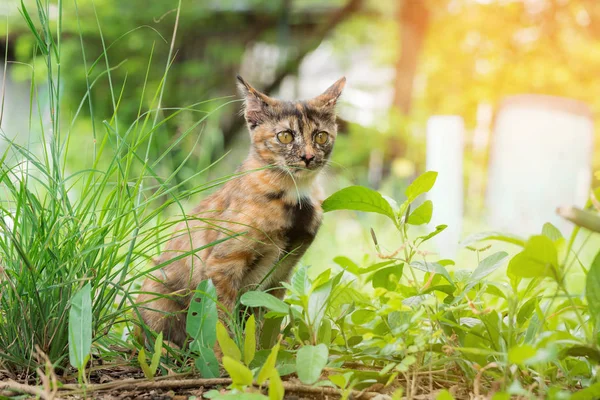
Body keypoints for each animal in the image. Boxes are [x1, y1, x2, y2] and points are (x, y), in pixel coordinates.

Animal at [135, 76, 342, 346]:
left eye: (321, 137)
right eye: (285, 136)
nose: (308, 157)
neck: (296, 196)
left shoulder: (282, 271)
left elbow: (265, 322)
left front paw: (266, 349)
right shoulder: (222, 265)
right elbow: (221, 321)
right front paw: (226, 353)